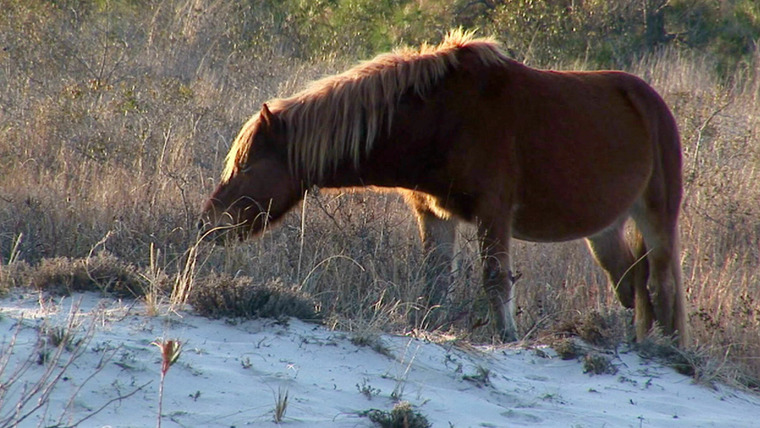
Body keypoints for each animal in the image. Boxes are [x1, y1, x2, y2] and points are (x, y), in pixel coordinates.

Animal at [200, 29, 688, 344]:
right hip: (603, 229)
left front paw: (507, 338)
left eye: (245, 167)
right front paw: (431, 328)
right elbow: (435, 281)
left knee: (663, 282)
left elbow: (495, 280)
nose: (208, 224)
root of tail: (653, 105)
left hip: (657, 215)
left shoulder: (494, 214)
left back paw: (670, 353)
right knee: (633, 282)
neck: (443, 117)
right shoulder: (434, 215)